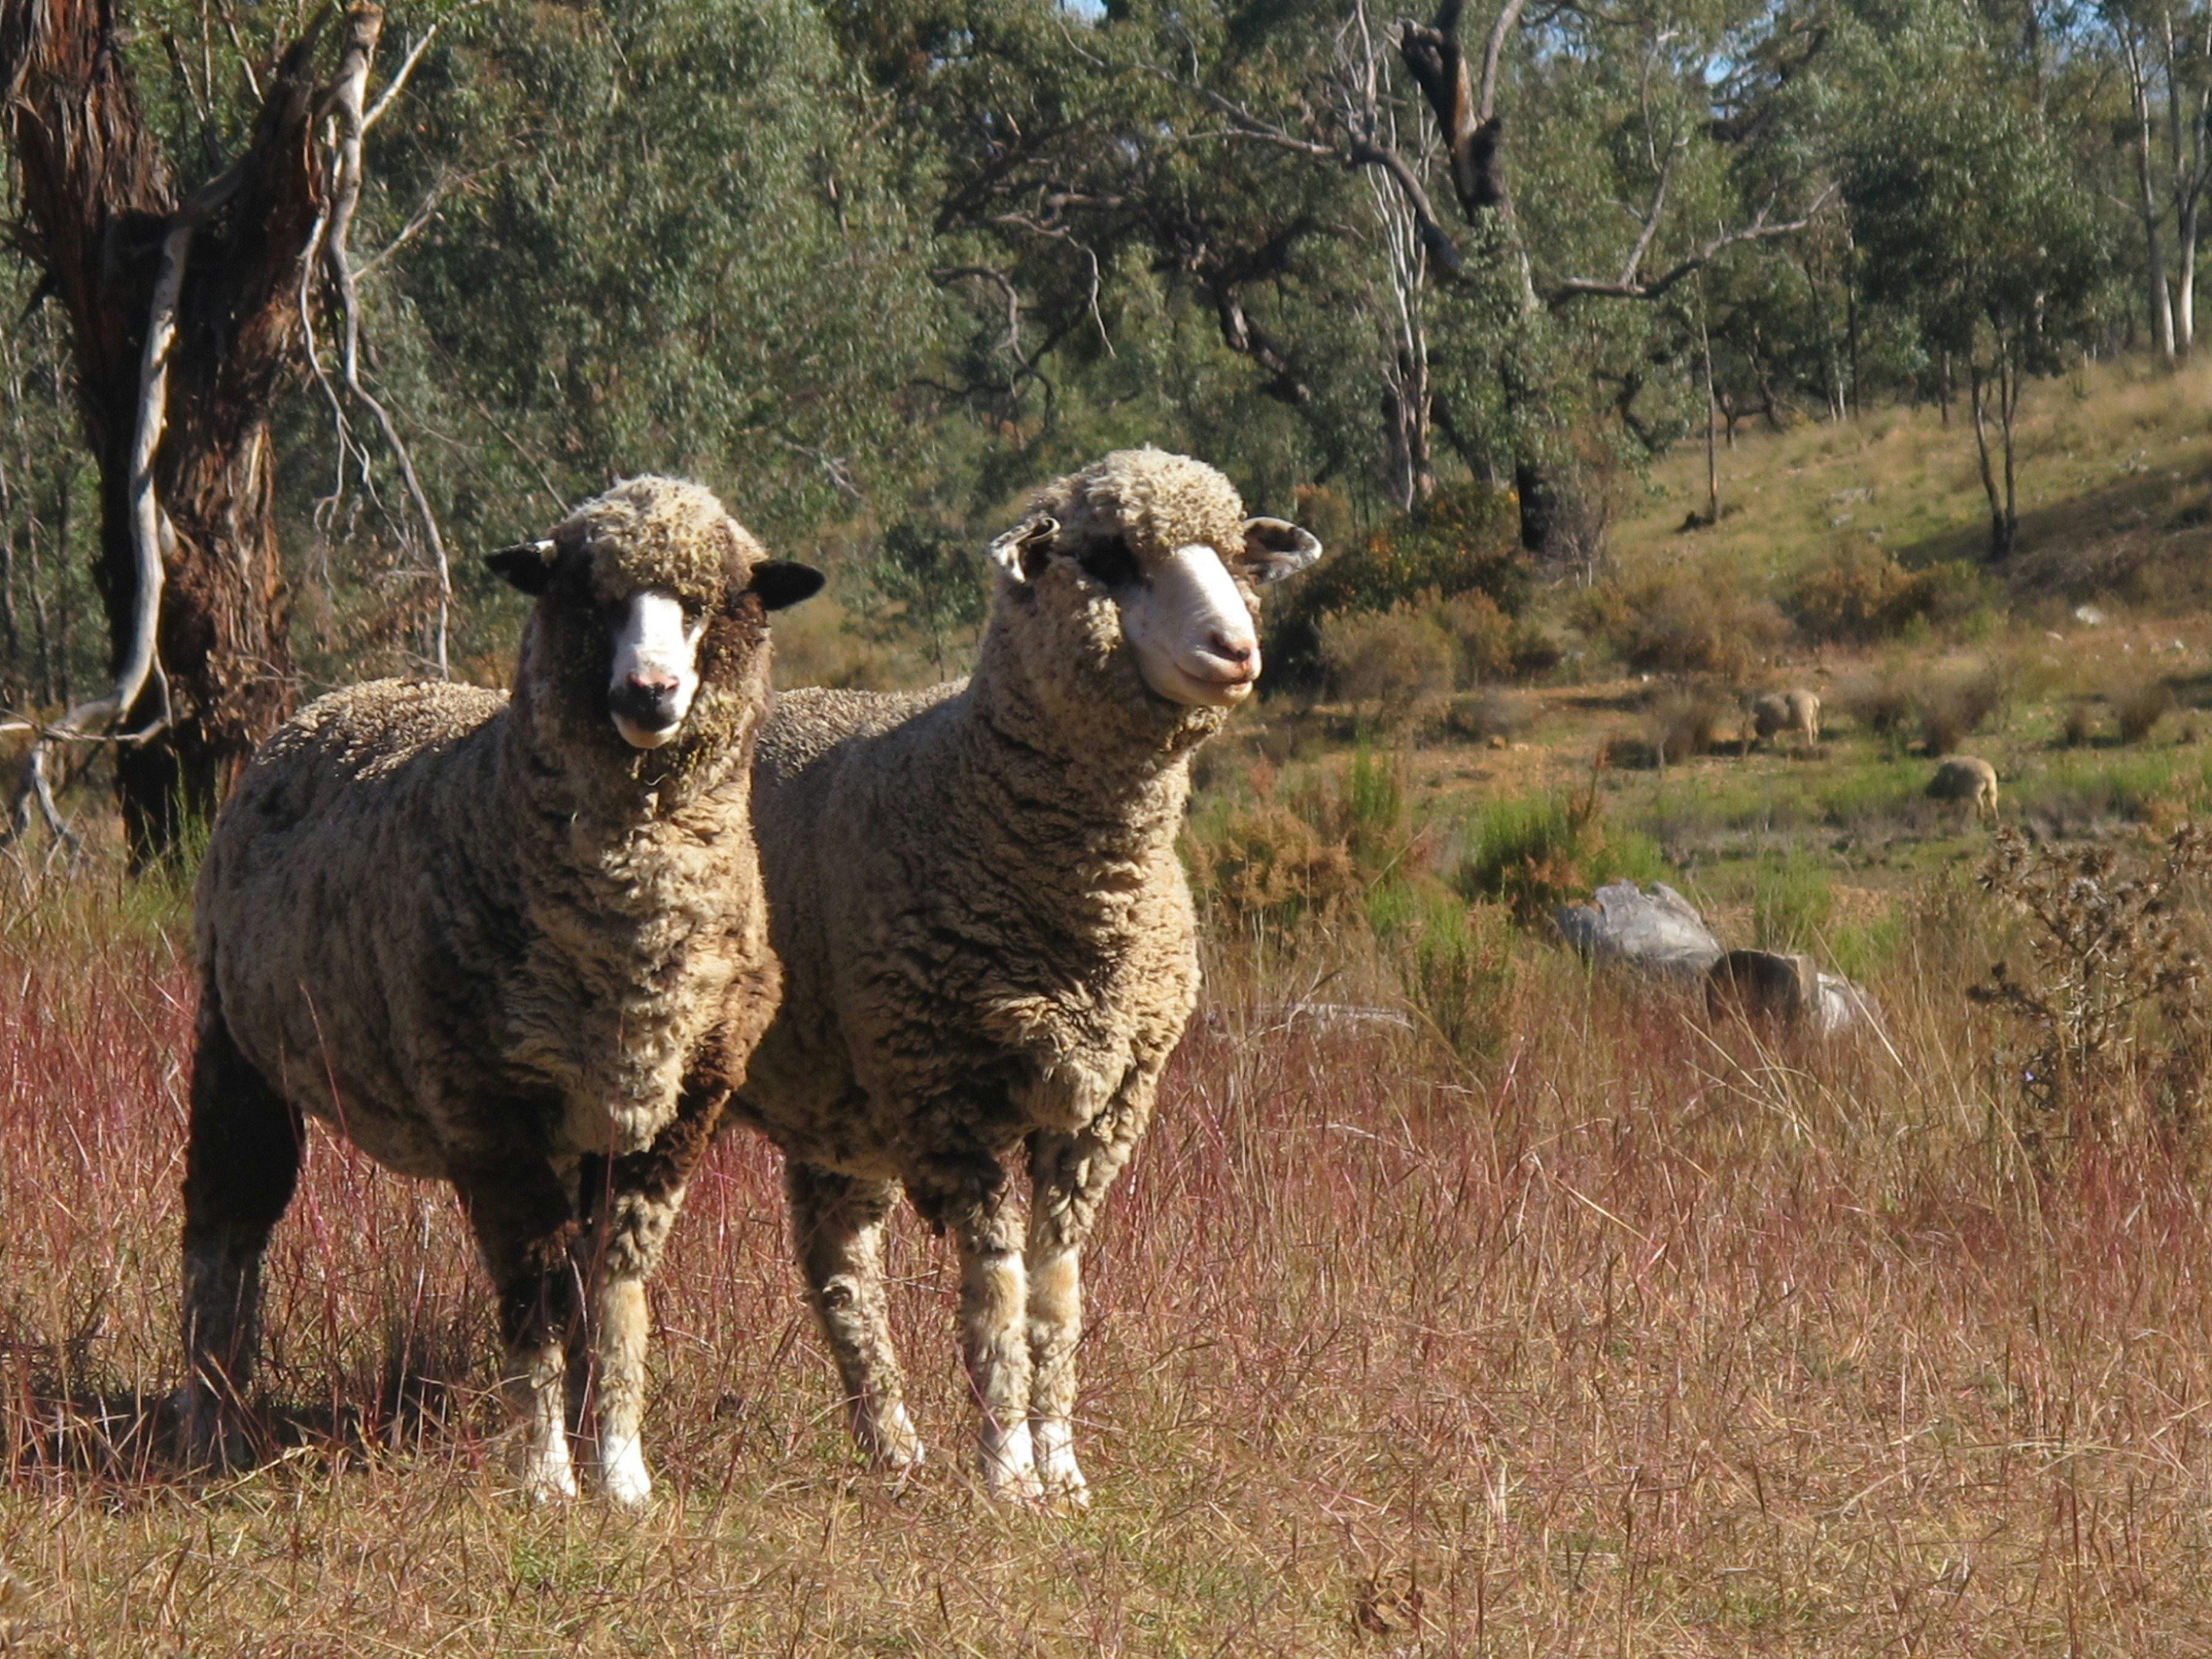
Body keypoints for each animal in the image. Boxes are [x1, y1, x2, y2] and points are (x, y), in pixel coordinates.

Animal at [178, 477, 822, 1506]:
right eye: (587, 597)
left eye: (714, 601)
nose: (649, 692)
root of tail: (347, 693)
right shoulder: (490, 1109)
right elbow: (529, 1298)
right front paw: (546, 1478)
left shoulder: (669, 1117)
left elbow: (613, 1294)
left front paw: (623, 1475)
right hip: (237, 1046)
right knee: (228, 1226)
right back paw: (211, 1421)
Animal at [729, 448, 1321, 1506]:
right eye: (1113, 557)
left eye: (1235, 553)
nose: (1236, 649)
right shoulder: (949, 1099)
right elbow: (996, 1292)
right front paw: (1007, 1474)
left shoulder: (1103, 1110)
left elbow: (1056, 1291)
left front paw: (1063, 1470)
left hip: (838, 1104)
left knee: (839, 1263)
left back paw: (892, 1447)